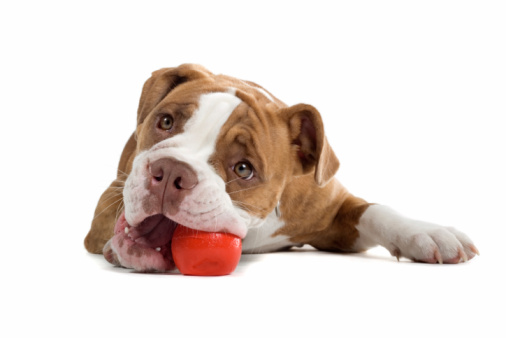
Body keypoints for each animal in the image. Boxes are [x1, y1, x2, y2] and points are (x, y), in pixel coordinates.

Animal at [84, 63, 478, 272]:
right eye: (165, 122)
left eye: (243, 169)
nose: (170, 172)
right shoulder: (112, 193)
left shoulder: (334, 213)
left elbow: (376, 210)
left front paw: (428, 233)